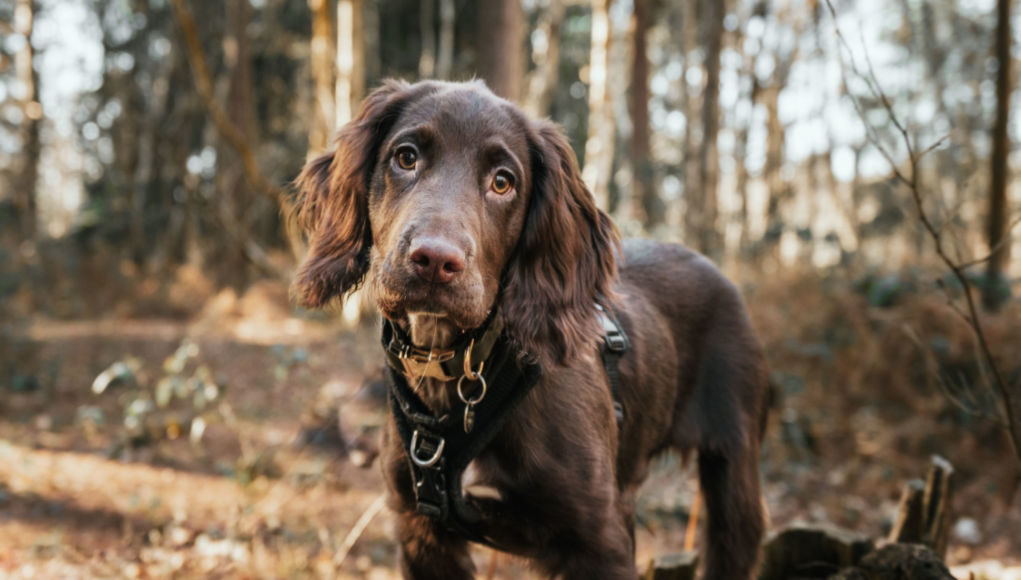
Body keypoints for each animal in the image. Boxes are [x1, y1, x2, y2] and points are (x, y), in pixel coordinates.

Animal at [292, 80, 763, 580]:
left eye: (503, 182)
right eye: (405, 157)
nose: (435, 261)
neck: (460, 370)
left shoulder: (599, 538)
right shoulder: (422, 534)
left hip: (734, 479)